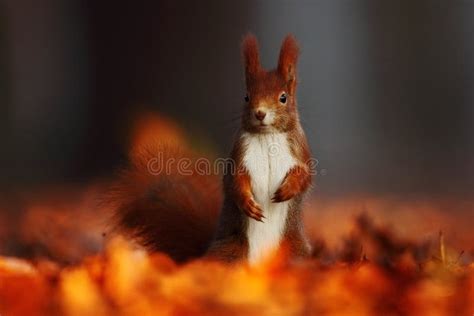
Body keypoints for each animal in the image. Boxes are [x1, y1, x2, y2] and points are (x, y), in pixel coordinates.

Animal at [109, 34, 312, 264]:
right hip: (229, 252)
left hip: (294, 252)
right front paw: (247, 203)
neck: (267, 136)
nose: (260, 113)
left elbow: (305, 175)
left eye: (283, 97)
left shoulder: (299, 150)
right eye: (246, 96)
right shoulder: (240, 154)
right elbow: (235, 180)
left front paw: (288, 189)